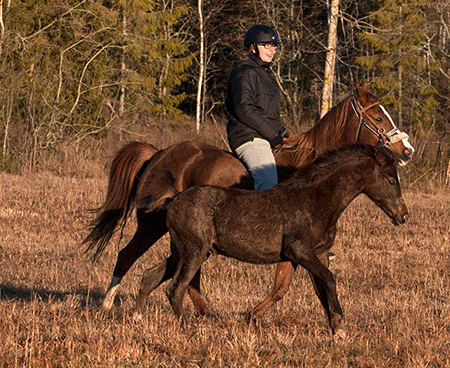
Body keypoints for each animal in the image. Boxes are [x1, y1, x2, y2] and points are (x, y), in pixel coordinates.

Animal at [84, 82, 414, 314]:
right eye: (378, 118)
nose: (407, 151)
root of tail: (158, 153)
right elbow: (283, 287)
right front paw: (252, 315)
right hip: (152, 226)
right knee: (128, 255)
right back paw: (108, 304)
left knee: (185, 274)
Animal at [133, 144, 408, 340]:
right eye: (391, 180)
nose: (403, 215)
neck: (314, 200)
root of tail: (172, 200)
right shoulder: (299, 250)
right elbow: (329, 279)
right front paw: (339, 326)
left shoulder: (310, 255)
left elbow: (311, 289)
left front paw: (334, 327)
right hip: (194, 251)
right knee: (175, 288)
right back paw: (187, 329)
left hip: (184, 251)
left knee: (150, 276)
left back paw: (138, 319)